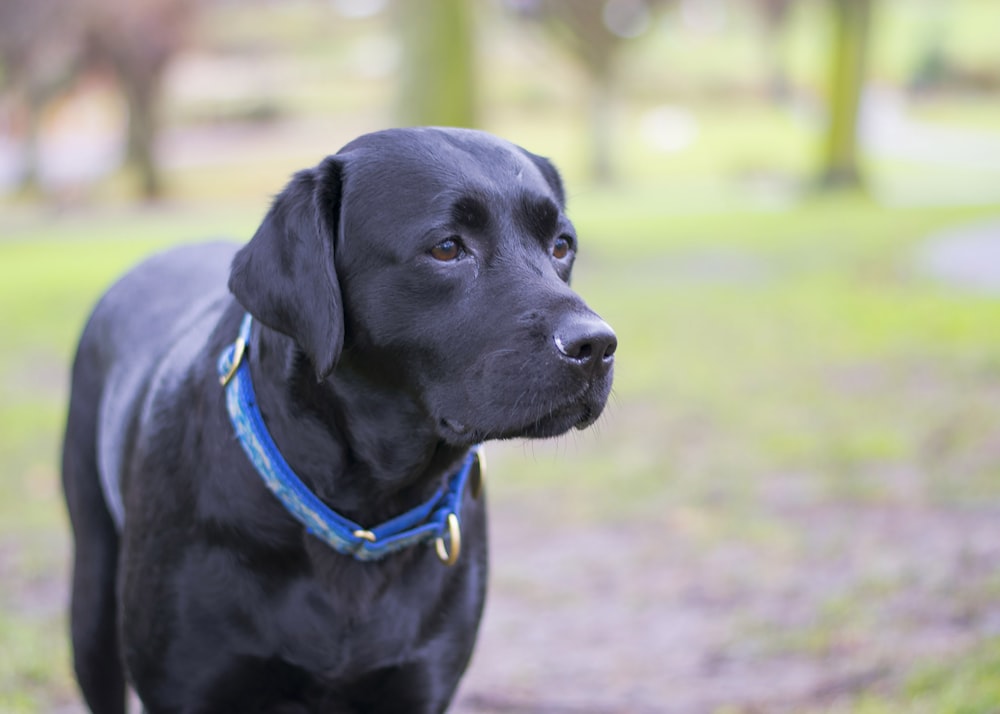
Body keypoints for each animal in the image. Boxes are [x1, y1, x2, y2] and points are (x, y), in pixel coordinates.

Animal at [62, 128, 612, 712]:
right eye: (446, 248)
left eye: (561, 245)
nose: (596, 345)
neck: (365, 509)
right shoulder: (186, 686)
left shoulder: (420, 686)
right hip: (91, 603)